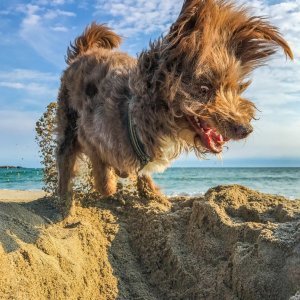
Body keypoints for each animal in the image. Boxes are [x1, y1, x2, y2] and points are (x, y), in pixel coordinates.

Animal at [55, 0, 292, 212]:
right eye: (204, 89)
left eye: (234, 88)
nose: (246, 129)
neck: (137, 112)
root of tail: (84, 53)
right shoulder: (88, 135)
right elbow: (105, 181)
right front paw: (112, 179)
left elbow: (141, 172)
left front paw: (151, 193)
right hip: (68, 125)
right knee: (65, 161)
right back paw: (64, 200)